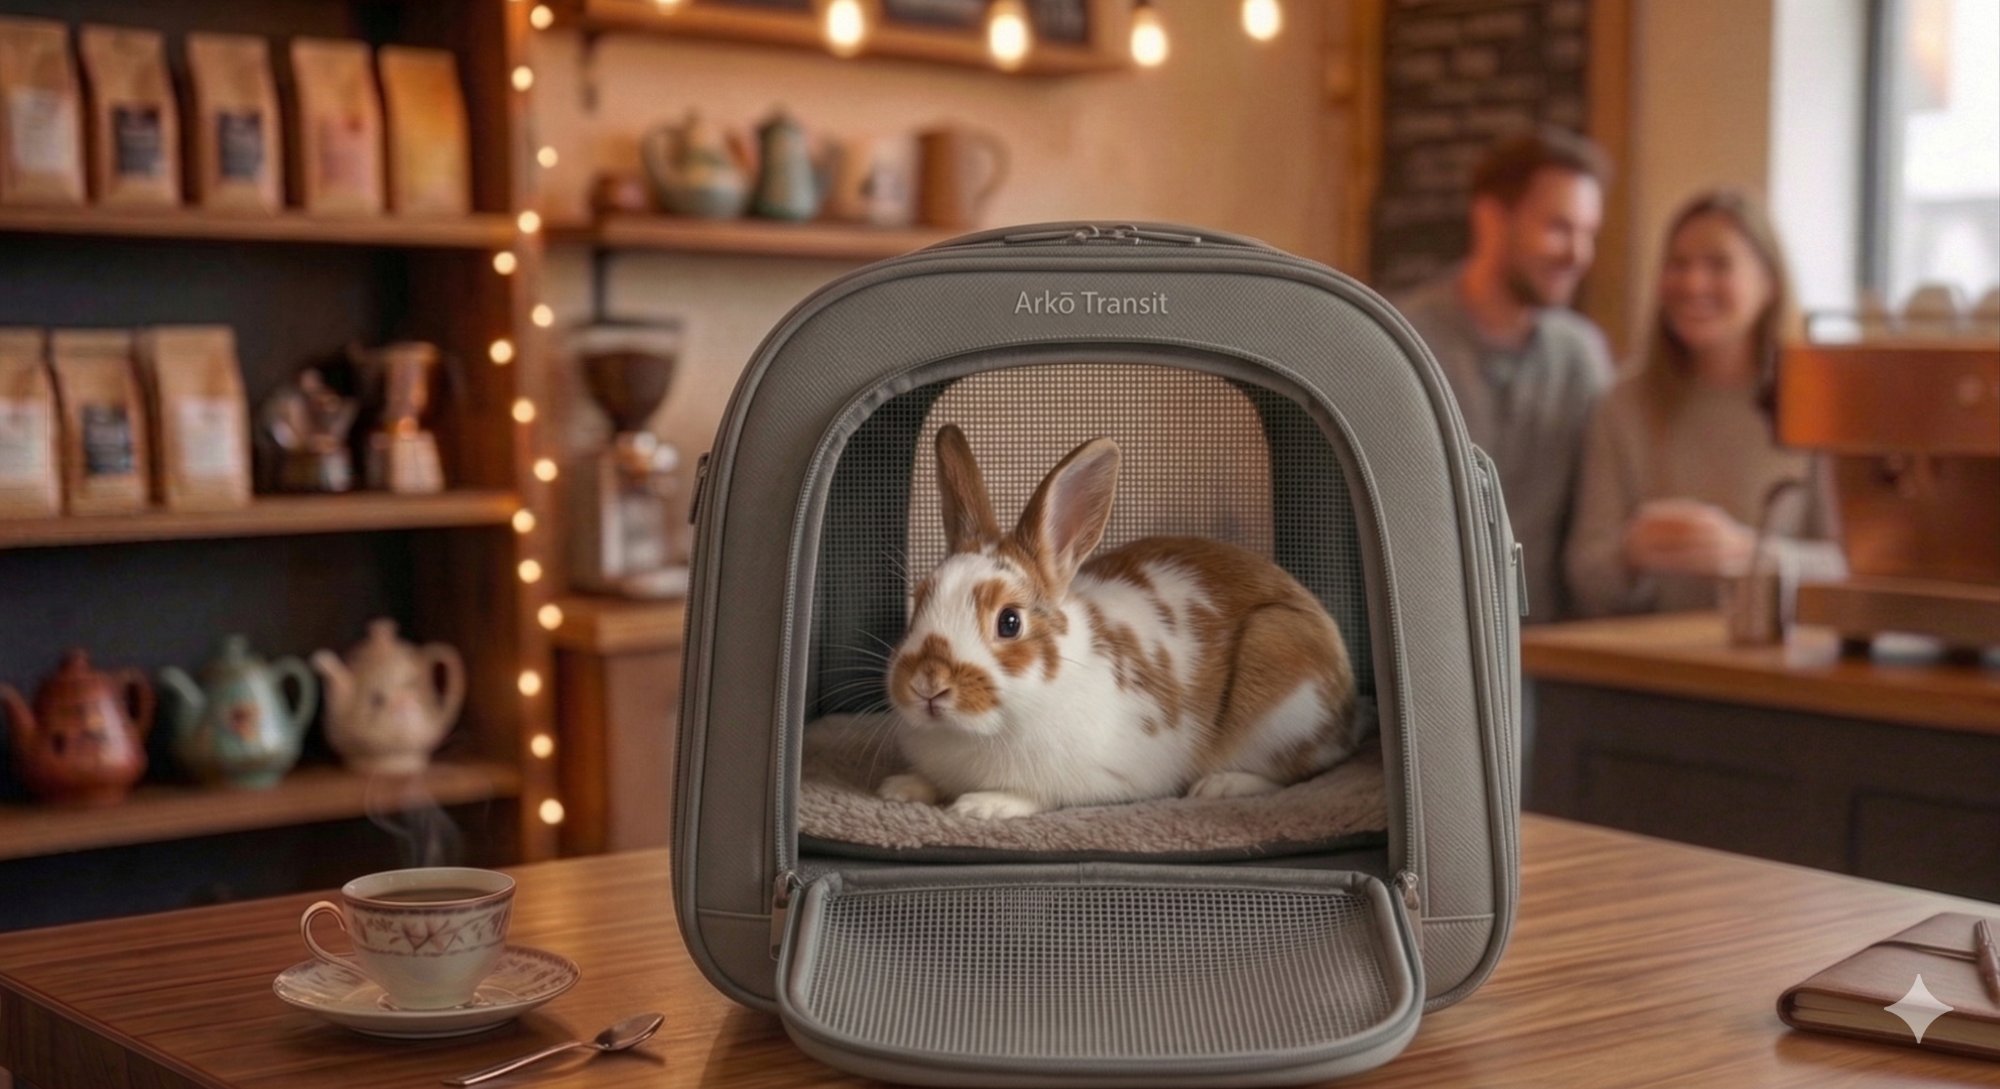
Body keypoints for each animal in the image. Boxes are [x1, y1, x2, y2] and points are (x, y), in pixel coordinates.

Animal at [877, 424, 1364, 820]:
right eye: (919, 600)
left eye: (1010, 622)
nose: (927, 684)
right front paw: (901, 788)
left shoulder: (1104, 778)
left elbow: (1039, 794)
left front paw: (983, 805)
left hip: (1283, 689)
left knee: (1298, 770)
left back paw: (1219, 786)